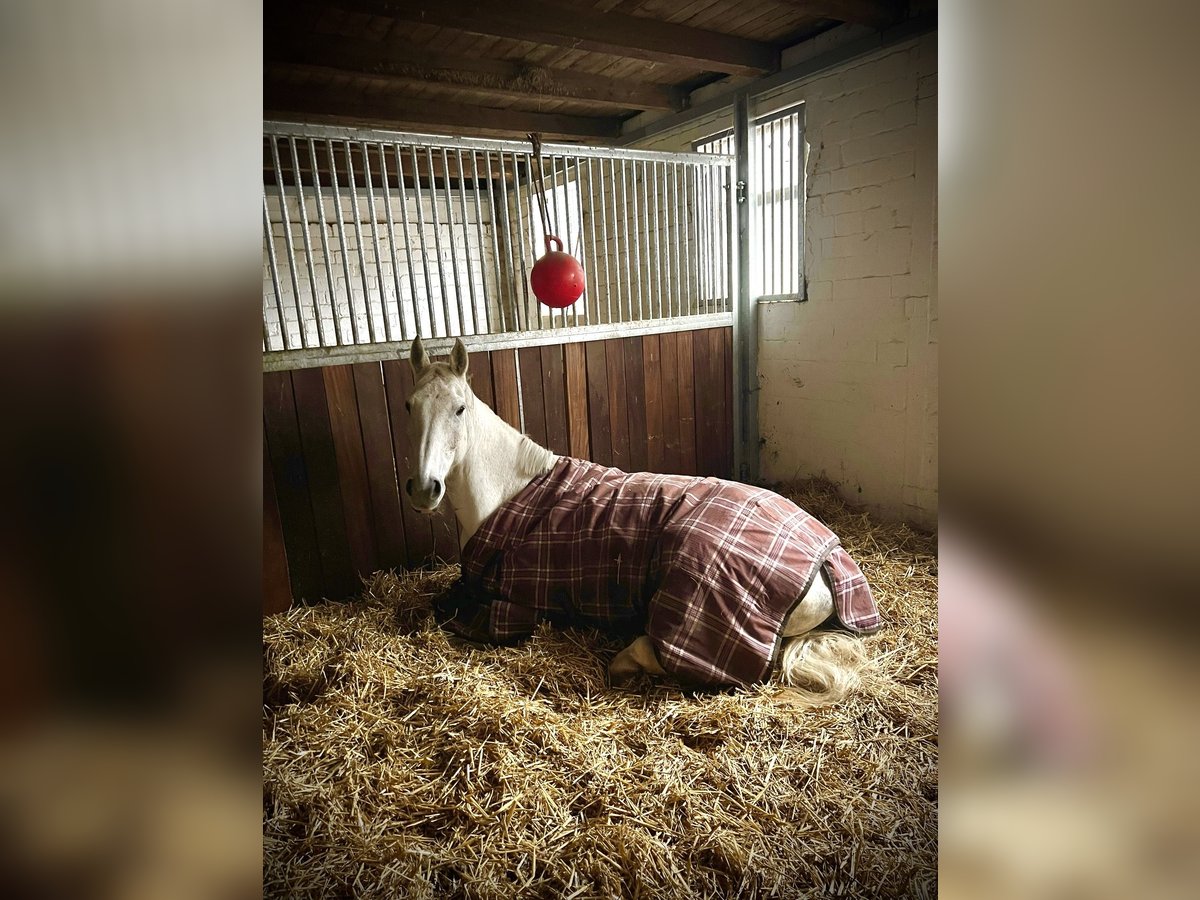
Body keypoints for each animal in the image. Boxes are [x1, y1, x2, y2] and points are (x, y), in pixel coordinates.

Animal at [403, 336, 883, 705]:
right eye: (409, 406)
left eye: (460, 409)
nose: (424, 488)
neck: (512, 490)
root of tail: (827, 560)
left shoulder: (513, 607)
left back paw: (623, 660)